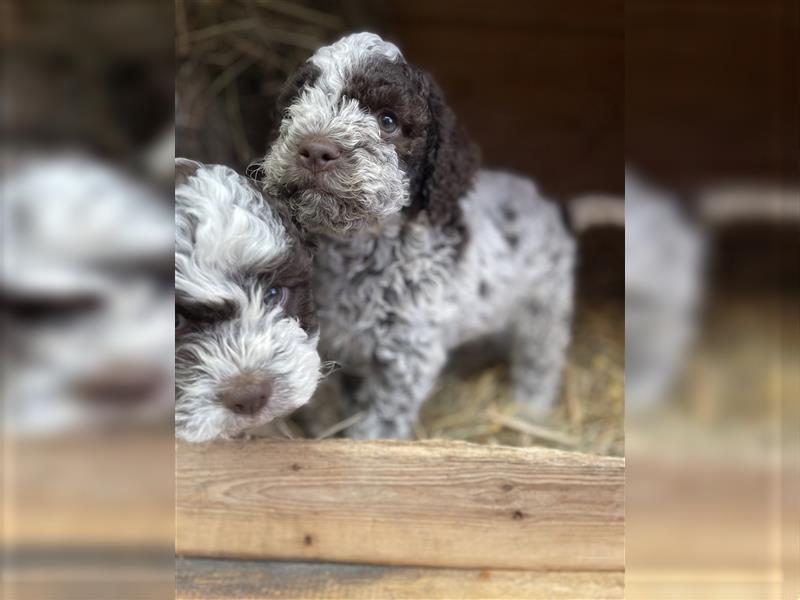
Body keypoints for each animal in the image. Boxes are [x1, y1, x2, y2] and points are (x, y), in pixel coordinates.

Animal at [262, 32, 576, 438]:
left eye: (388, 121)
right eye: (294, 104)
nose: (315, 149)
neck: (358, 252)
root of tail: (546, 203)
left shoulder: (407, 354)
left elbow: (381, 424)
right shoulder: (324, 337)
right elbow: (323, 398)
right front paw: (324, 431)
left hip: (545, 303)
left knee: (542, 356)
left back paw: (530, 409)